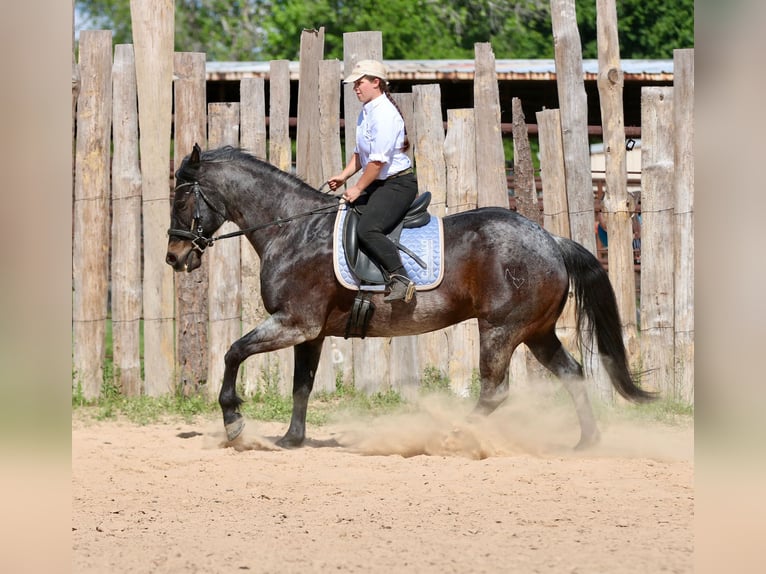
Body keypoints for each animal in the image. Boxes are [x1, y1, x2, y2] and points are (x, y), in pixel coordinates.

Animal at [166, 144, 656, 450]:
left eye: (181, 201)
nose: (174, 257)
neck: (293, 229)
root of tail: (550, 239)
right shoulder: (310, 332)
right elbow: (301, 384)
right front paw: (292, 439)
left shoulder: (293, 323)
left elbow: (233, 352)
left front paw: (234, 423)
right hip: (536, 332)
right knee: (572, 373)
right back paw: (586, 442)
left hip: (500, 329)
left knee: (495, 391)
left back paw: (453, 436)